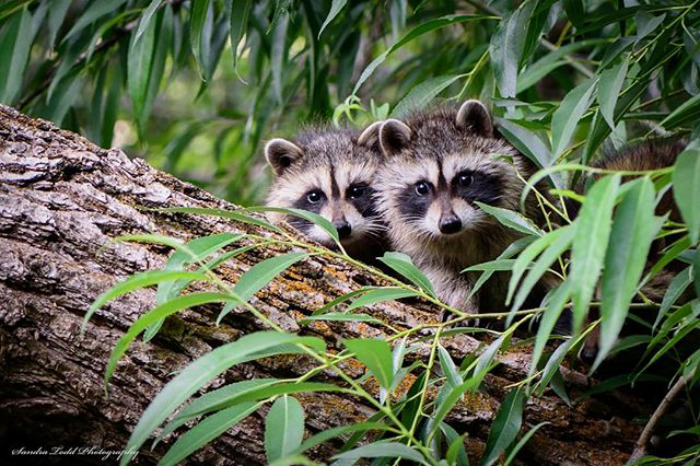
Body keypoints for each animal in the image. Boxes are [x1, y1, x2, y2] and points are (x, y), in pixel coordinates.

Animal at [375, 100, 543, 314]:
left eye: (464, 179)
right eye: (422, 188)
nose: (449, 224)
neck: (463, 234)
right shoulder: (412, 241)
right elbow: (436, 270)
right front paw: (462, 299)